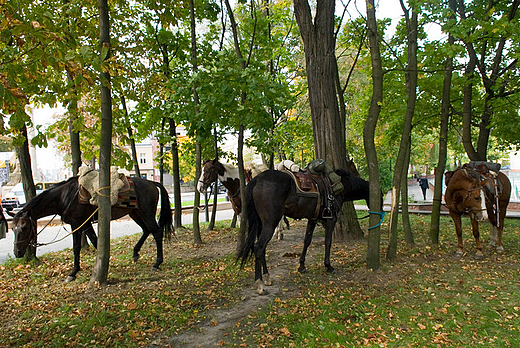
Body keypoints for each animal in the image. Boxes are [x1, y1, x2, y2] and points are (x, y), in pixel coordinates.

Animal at [10, 177, 174, 282]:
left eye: (24, 227)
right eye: (13, 229)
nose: (17, 252)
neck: (64, 196)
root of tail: (152, 183)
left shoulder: (76, 223)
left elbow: (76, 247)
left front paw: (73, 272)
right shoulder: (86, 224)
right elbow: (95, 241)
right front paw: (103, 264)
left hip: (146, 213)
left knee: (156, 232)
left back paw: (157, 263)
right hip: (135, 213)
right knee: (146, 230)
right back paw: (135, 254)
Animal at [238, 169, 376, 294]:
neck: (335, 185)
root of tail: (257, 179)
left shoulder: (312, 220)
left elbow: (307, 241)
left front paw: (302, 266)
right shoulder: (331, 220)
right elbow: (328, 242)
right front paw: (328, 266)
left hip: (261, 224)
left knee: (261, 249)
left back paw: (267, 278)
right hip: (270, 224)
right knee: (259, 247)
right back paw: (260, 284)